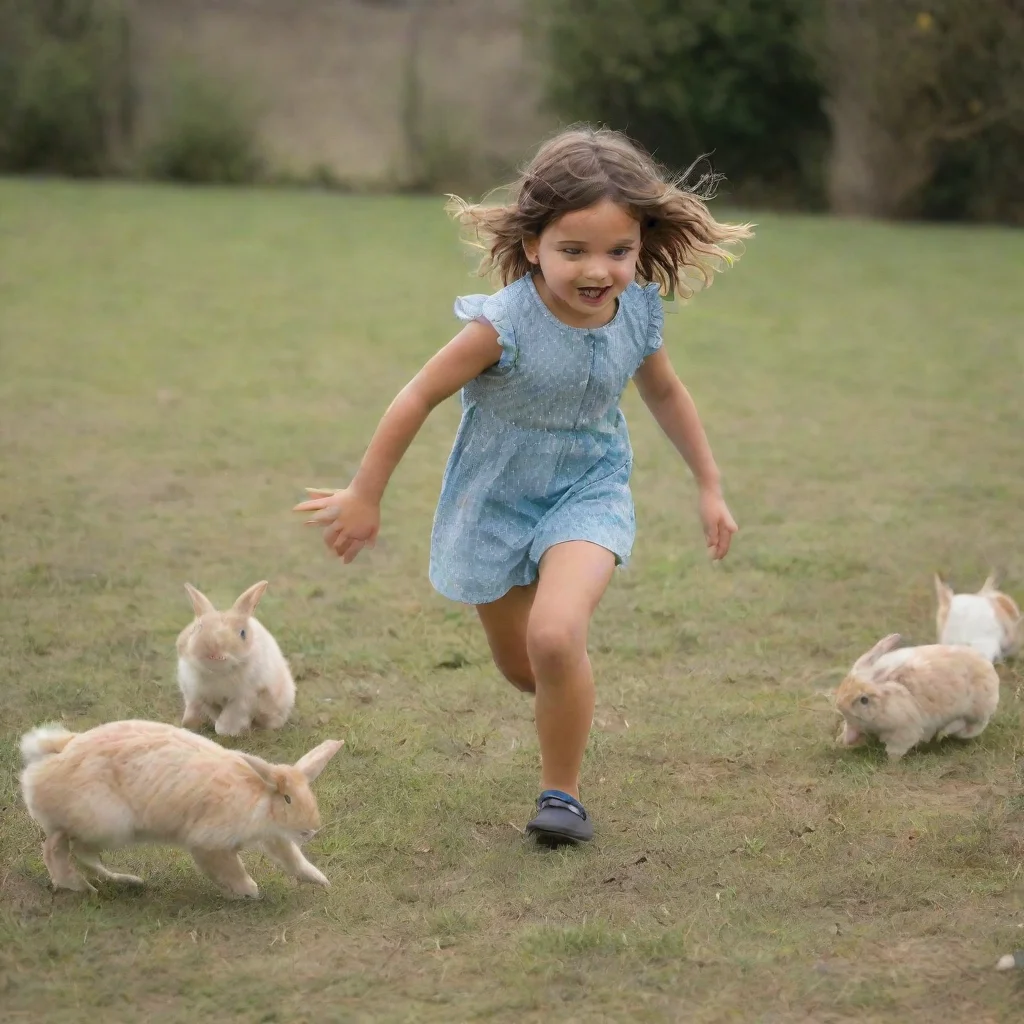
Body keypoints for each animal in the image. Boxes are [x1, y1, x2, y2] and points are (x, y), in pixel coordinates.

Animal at [18, 720, 344, 897]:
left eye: (308, 794)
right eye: (287, 799)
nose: (310, 831)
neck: (259, 798)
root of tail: (51, 758)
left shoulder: (274, 837)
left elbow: (293, 860)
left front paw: (321, 880)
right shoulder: (210, 843)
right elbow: (230, 869)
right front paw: (249, 891)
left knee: (79, 854)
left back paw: (126, 882)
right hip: (105, 825)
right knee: (56, 847)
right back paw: (81, 887)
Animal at [176, 577, 294, 737]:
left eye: (242, 633)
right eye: (197, 628)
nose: (214, 652)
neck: (217, 673)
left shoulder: (244, 698)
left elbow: (229, 717)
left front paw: (226, 731)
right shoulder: (195, 694)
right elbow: (197, 710)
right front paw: (188, 726)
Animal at [831, 630, 999, 761]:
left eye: (864, 700)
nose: (840, 704)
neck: (886, 701)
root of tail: (988, 666)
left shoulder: (904, 730)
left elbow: (896, 749)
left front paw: (891, 762)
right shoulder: (854, 723)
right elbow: (850, 730)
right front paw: (842, 741)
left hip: (976, 713)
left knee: (970, 727)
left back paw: (945, 733)